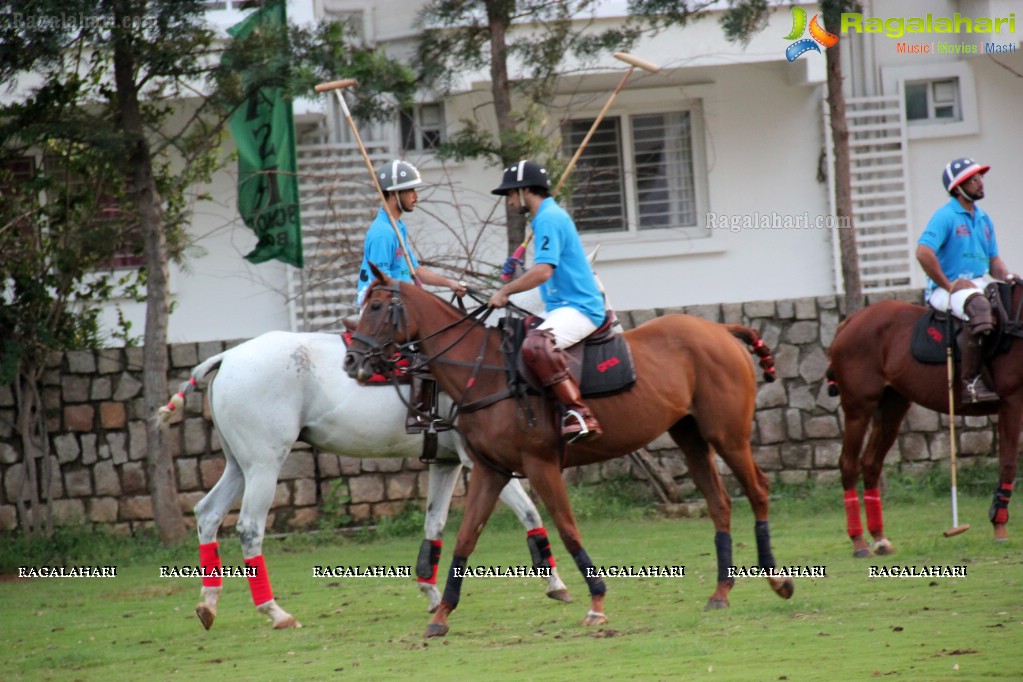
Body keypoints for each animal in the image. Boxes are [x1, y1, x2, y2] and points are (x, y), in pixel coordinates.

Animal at [161, 304, 576, 629]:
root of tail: (227, 357)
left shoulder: (446, 462)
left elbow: (435, 523)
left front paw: (431, 593)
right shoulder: (482, 460)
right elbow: (529, 511)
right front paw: (556, 583)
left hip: (239, 463)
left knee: (208, 512)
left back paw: (208, 604)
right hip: (264, 462)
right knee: (249, 527)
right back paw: (275, 611)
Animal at [343, 265, 789, 642]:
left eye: (377, 306)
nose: (352, 360)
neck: (482, 372)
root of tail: (721, 328)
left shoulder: (540, 465)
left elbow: (567, 527)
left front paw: (596, 602)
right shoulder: (490, 469)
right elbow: (466, 538)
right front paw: (441, 615)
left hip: (727, 433)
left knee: (758, 489)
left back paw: (778, 580)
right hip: (689, 434)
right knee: (720, 501)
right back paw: (721, 592)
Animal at [830, 280, 1023, 556]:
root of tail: (849, 321)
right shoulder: (1012, 401)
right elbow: (1007, 464)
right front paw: (999, 527)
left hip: (893, 406)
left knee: (871, 463)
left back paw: (879, 538)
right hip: (859, 407)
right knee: (848, 463)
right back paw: (859, 542)